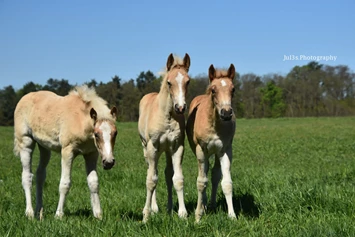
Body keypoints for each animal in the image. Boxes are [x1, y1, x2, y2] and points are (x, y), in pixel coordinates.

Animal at [13, 84, 117, 219]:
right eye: (97, 134)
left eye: (115, 133)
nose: (109, 162)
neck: (79, 119)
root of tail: (24, 97)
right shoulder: (68, 151)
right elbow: (65, 183)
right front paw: (59, 215)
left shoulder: (91, 154)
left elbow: (93, 182)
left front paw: (98, 215)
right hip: (26, 142)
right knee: (27, 176)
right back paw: (30, 213)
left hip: (44, 146)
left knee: (40, 175)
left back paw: (39, 212)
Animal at [138, 52, 192, 222]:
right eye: (169, 82)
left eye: (188, 81)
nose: (180, 108)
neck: (167, 116)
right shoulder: (152, 147)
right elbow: (151, 180)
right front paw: (146, 215)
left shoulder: (177, 147)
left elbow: (177, 179)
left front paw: (183, 213)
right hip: (146, 149)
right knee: (151, 171)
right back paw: (154, 208)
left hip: (167, 151)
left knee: (168, 174)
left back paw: (169, 208)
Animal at [186, 63, 236, 222]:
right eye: (213, 90)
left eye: (233, 89)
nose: (226, 113)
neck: (215, 124)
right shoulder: (201, 150)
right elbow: (201, 182)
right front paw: (198, 216)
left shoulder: (225, 150)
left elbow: (226, 182)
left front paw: (232, 216)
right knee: (206, 175)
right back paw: (204, 205)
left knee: (214, 175)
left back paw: (212, 204)